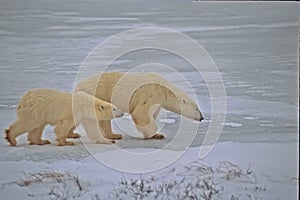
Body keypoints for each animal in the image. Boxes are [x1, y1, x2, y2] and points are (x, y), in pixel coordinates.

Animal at [74, 72, 204, 140]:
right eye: (197, 108)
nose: (202, 117)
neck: (164, 89)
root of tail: (78, 85)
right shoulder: (150, 94)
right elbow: (141, 114)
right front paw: (153, 133)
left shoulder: (158, 102)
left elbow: (152, 114)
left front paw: (158, 135)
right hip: (98, 94)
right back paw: (114, 135)